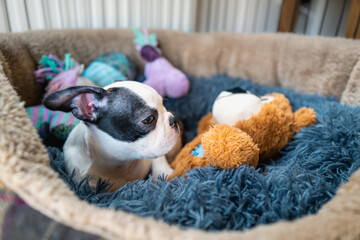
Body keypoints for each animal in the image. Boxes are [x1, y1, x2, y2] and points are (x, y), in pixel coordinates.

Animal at [44, 80, 181, 191]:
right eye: (148, 119)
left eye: (164, 105)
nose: (173, 119)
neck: (122, 164)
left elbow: (159, 160)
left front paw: (165, 174)